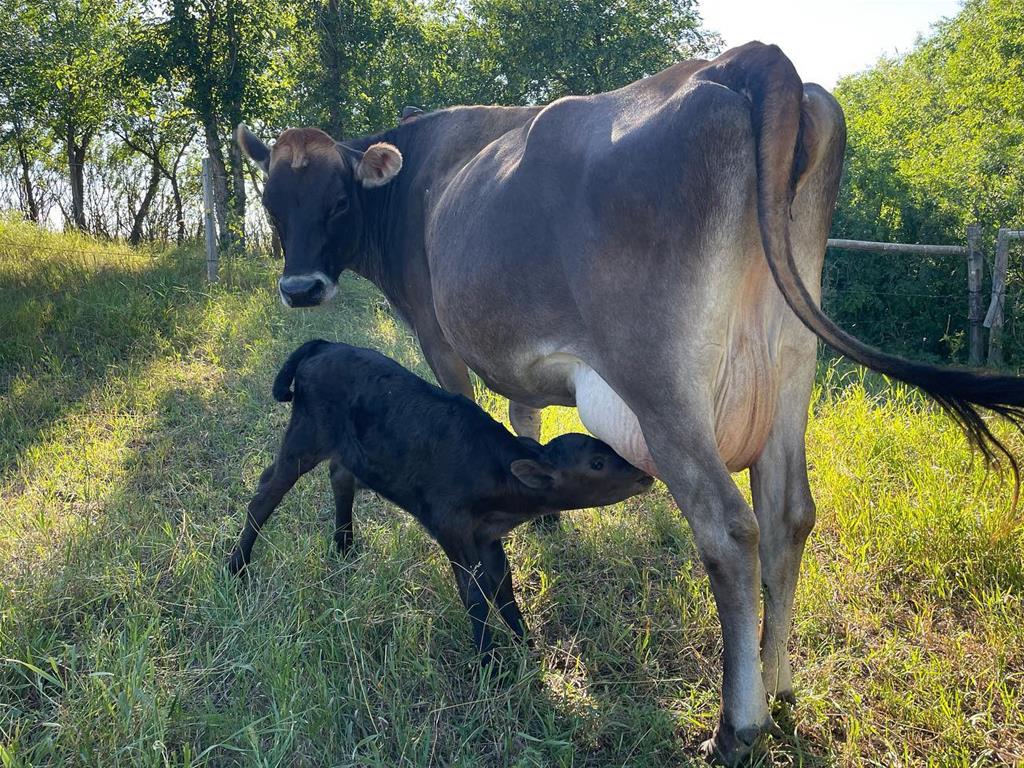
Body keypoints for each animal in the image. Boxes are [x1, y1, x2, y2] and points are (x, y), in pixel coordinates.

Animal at [228, 342, 651, 663]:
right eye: (596, 463)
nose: (642, 471)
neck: (496, 475)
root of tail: (326, 345)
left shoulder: (487, 536)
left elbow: (502, 587)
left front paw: (525, 642)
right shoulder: (452, 528)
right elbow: (474, 595)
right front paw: (490, 663)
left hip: (346, 447)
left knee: (340, 475)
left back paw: (344, 544)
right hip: (305, 436)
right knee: (266, 492)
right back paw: (238, 566)